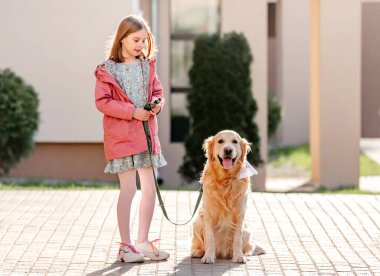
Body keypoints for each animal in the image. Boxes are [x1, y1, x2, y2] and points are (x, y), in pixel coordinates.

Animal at [190, 129, 264, 264]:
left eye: (235, 141)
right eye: (220, 141)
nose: (228, 150)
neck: (225, 180)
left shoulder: (239, 214)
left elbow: (237, 239)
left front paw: (239, 256)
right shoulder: (209, 213)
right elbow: (209, 238)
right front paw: (208, 256)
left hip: (247, 230)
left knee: (250, 246)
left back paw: (243, 253)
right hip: (197, 223)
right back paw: (198, 252)